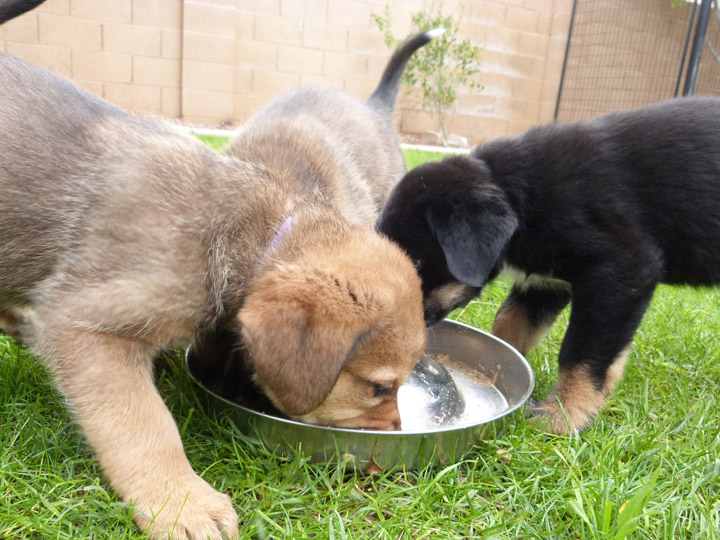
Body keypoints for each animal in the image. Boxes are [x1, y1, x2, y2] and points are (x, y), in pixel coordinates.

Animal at [0, 7, 434, 540]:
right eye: (379, 387)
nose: (394, 441)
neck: (239, 232)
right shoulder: (86, 325)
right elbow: (144, 426)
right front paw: (182, 502)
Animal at [376, 96, 720, 434]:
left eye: (416, 264)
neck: (521, 199)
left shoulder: (622, 270)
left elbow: (582, 354)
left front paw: (562, 416)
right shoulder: (543, 283)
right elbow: (510, 325)